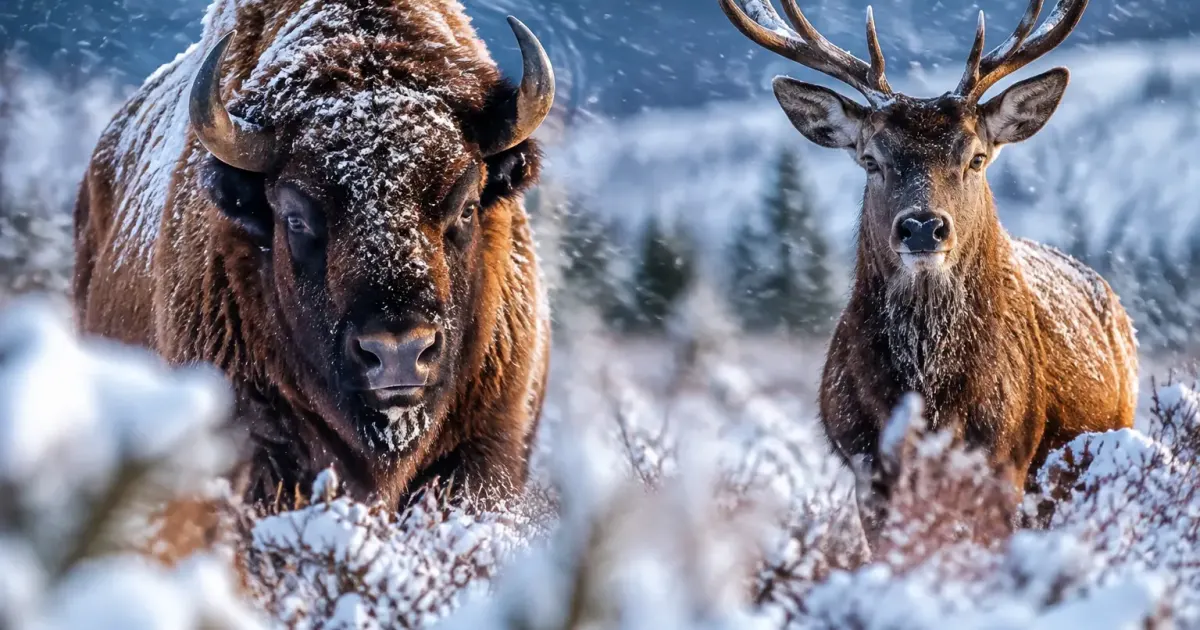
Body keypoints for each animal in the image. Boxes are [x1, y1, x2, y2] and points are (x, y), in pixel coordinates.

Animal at [720, 0, 1138, 535]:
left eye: (976, 158)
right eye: (871, 160)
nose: (922, 227)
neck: (930, 404)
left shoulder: (1006, 461)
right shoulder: (864, 466)